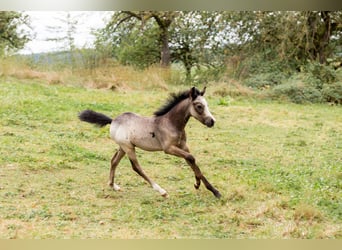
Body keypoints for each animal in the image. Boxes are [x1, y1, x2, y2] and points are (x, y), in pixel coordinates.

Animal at [78, 87, 220, 198]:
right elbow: (191, 158)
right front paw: (199, 184)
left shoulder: (183, 146)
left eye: (207, 105)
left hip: (123, 147)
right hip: (128, 148)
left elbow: (192, 161)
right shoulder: (168, 149)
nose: (212, 121)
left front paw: (211, 189)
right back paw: (162, 191)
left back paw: (113, 186)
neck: (171, 123)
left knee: (114, 161)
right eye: (199, 106)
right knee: (136, 167)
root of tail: (113, 121)